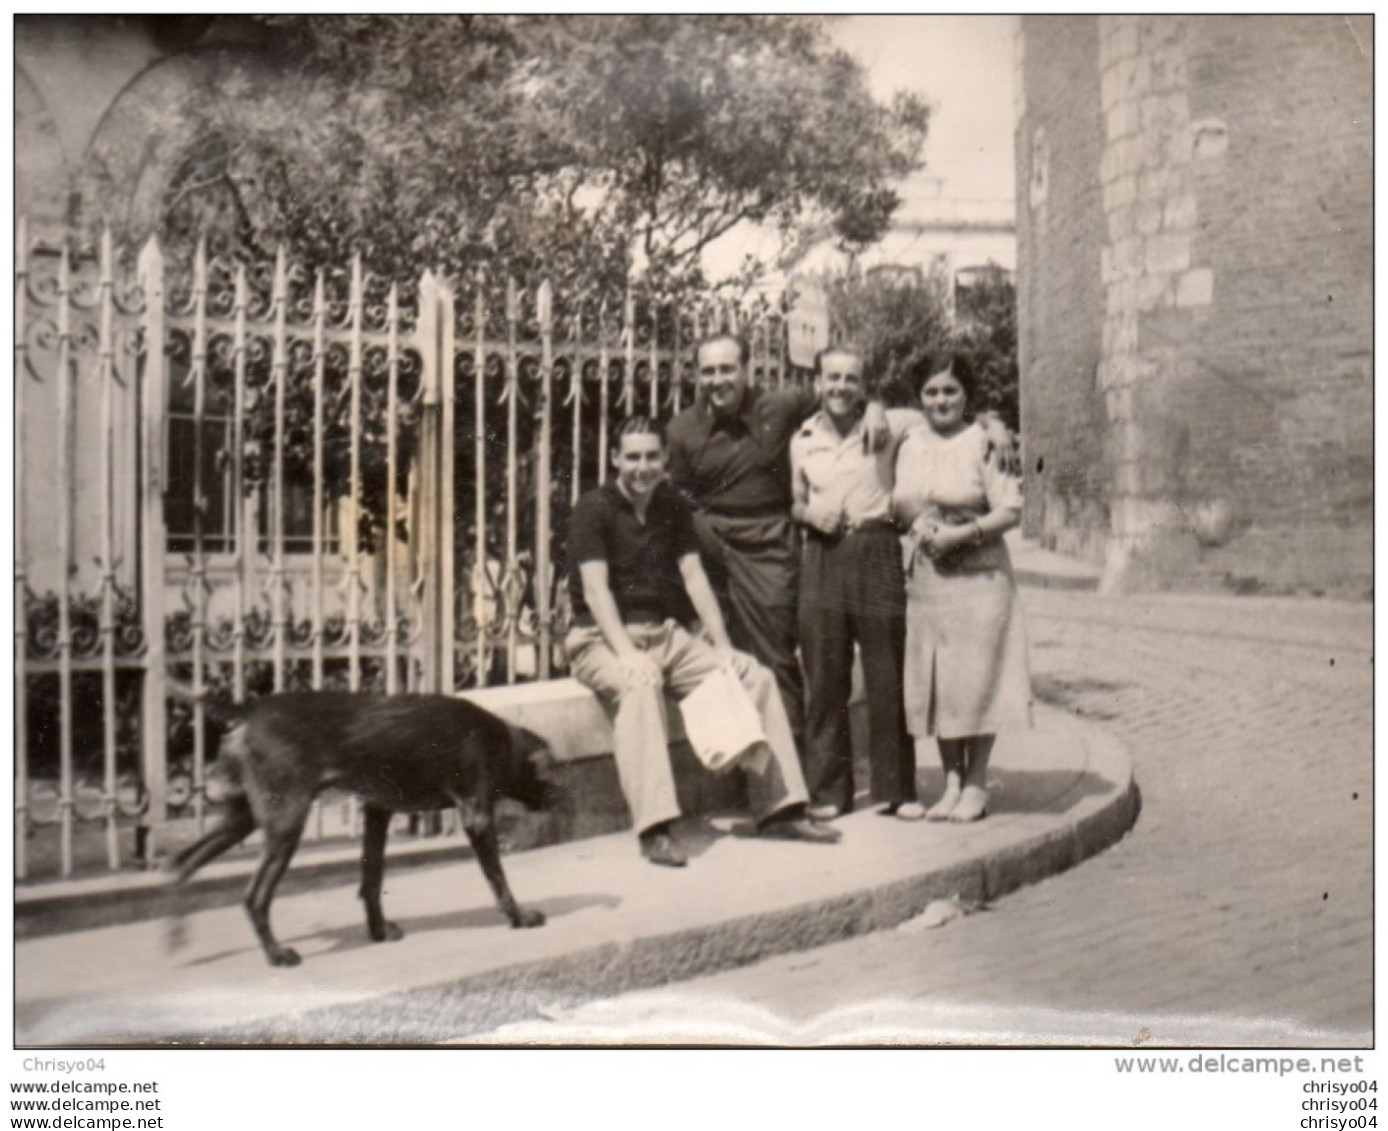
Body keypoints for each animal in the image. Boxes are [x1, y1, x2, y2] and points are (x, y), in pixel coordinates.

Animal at [169, 691, 563, 971]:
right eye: (551, 771)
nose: (559, 797)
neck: (501, 739)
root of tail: (249, 710)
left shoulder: (377, 812)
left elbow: (371, 881)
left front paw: (378, 931)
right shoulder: (476, 816)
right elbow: (498, 879)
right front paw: (519, 917)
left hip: (244, 819)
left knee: (182, 862)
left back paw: (176, 938)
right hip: (285, 825)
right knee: (254, 896)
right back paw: (276, 954)